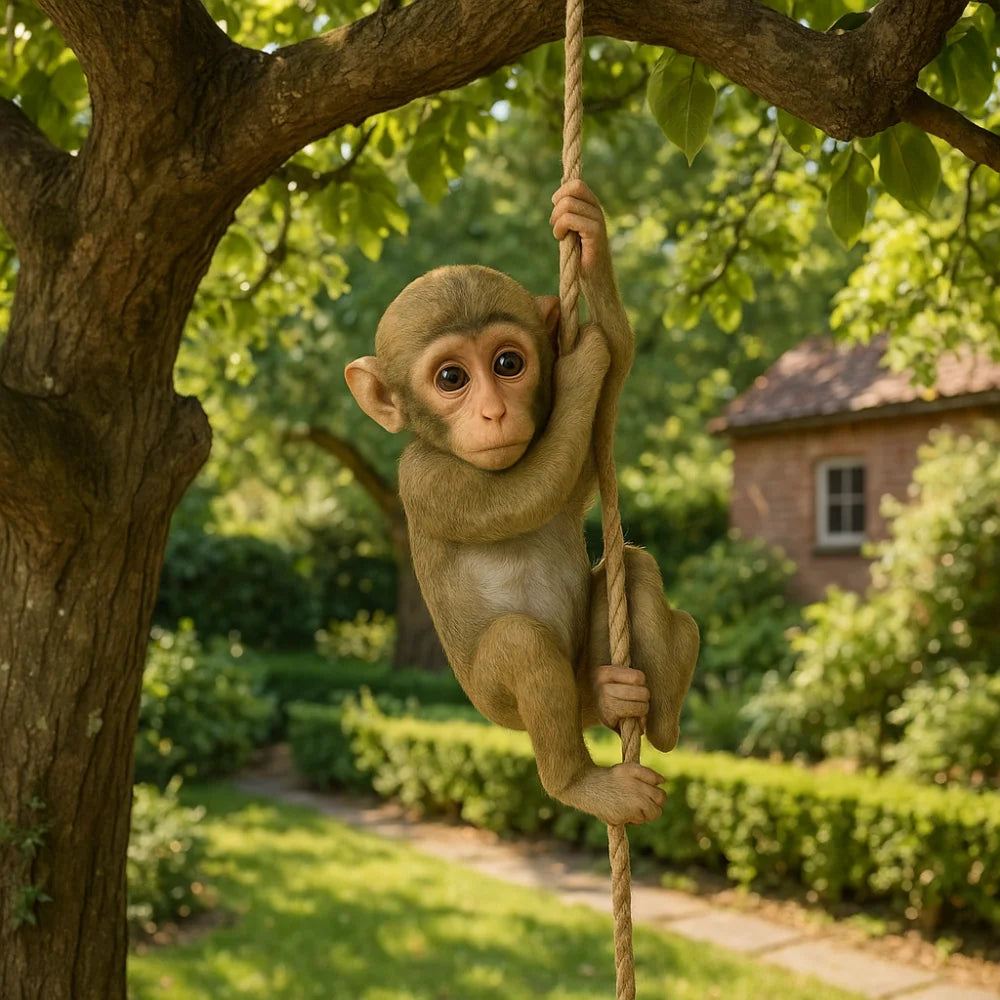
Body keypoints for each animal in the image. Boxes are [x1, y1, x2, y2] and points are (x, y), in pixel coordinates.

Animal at [345, 180, 698, 825]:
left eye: (508, 363)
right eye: (452, 377)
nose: (494, 412)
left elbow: (590, 442)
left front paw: (589, 239)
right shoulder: (424, 478)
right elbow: (524, 494)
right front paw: (582, 363)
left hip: (586, 667)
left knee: (632, 566)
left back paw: (651, 695)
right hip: (496, 702)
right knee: (520, 645)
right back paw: (584, 782)